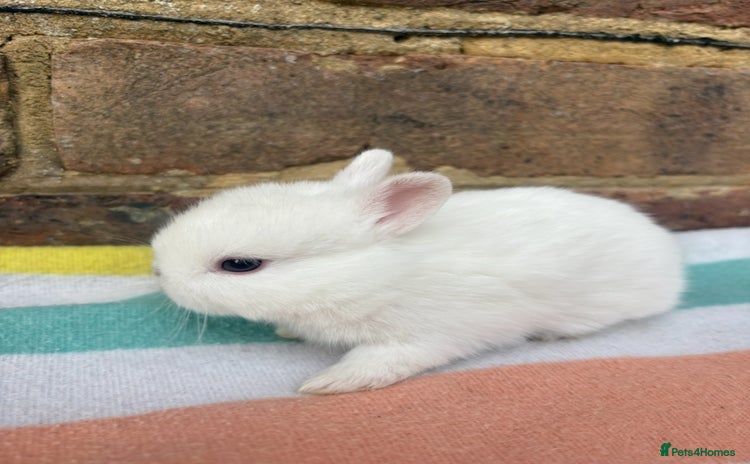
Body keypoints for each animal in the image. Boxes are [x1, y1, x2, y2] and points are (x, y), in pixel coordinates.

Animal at [151, 149, 684, 395]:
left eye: (240, 265)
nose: (158, 270)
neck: (368, 275)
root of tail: (666, 251)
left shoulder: (426, 338)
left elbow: (377, 364)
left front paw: (324, 384)